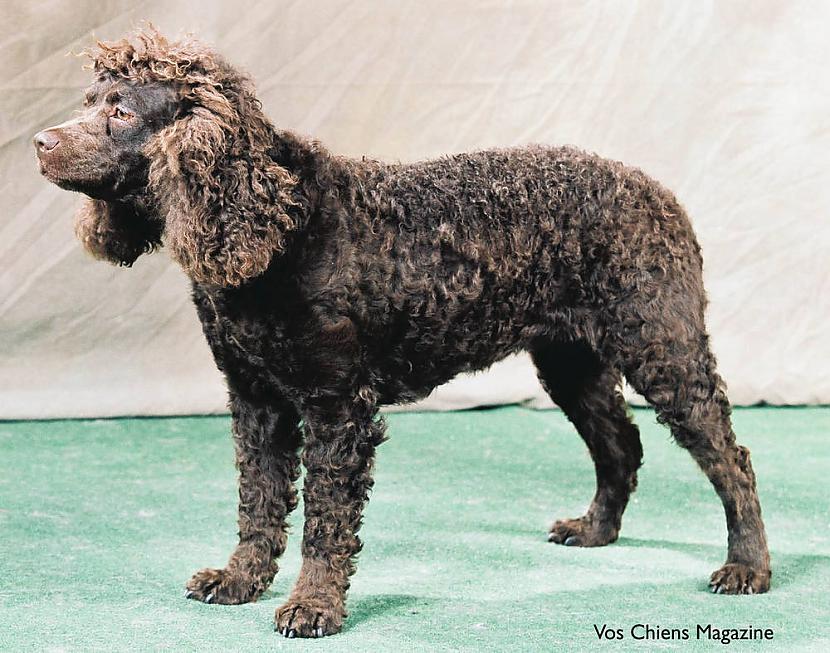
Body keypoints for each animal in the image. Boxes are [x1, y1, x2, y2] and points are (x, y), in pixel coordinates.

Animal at [32, 29, 772, 636]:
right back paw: (596, 530)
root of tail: (660, 193)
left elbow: (325, 519)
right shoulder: (256, 399)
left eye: (121, 111)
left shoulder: (337, 408)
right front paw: (240, 578)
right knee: (620, 444)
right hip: (572, 363)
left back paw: (748, 566)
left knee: (731, 458)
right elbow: (259, 502)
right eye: (90, 99)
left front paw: (313, 605)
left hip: (664, 351)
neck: (279, 222)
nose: (40, 141)